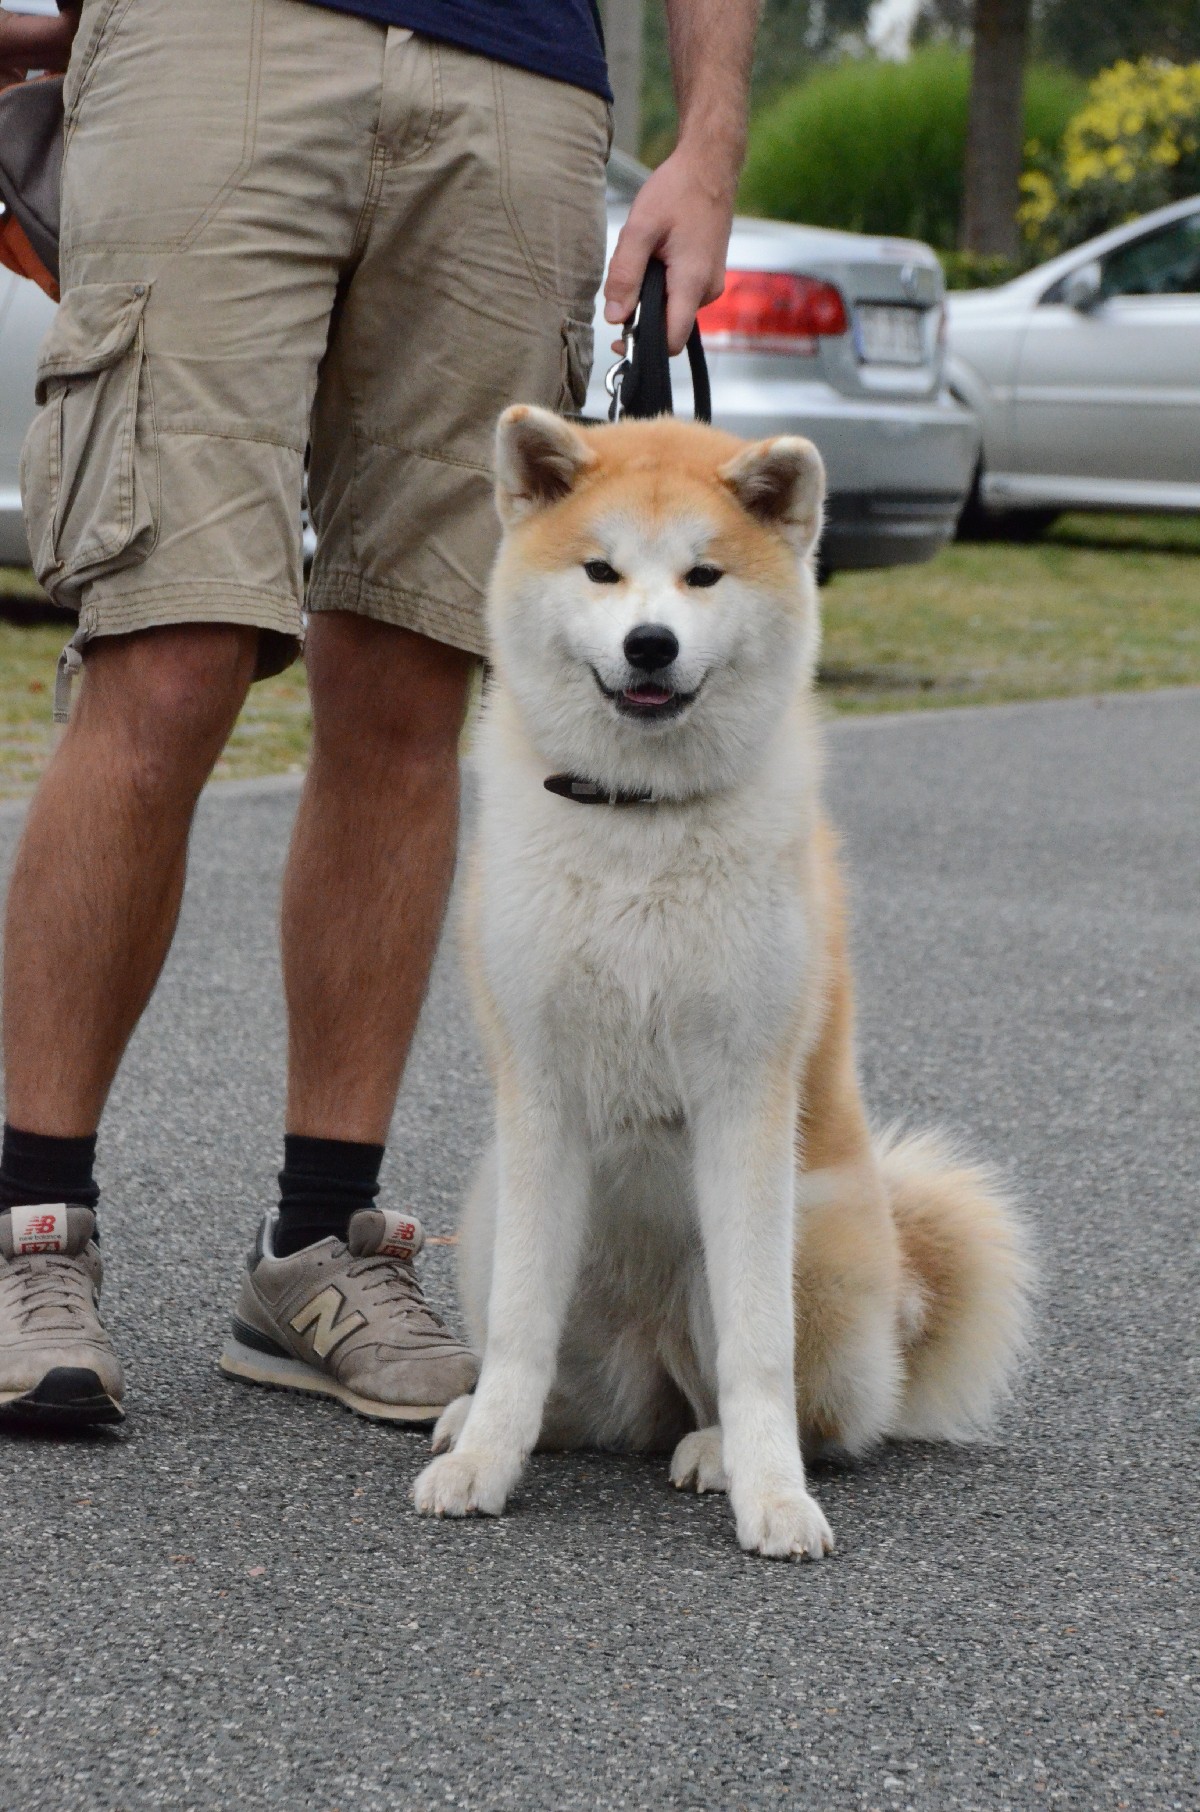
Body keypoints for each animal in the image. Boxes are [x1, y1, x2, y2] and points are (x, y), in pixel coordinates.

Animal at [412, 407, 1030, 1558]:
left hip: (800, 1239)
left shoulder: (745, 1099)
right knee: (588, 1394)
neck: (638, 823)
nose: (649, 643)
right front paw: (485, 1461)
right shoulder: (541, 1095)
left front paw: (773, 1496)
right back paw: (493, 1420)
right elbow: (518, 1330)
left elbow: (757, 1356)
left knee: (805, 1409)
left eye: (703, 575)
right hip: (494, 1212)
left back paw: (716, 1452)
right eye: (602, 570)